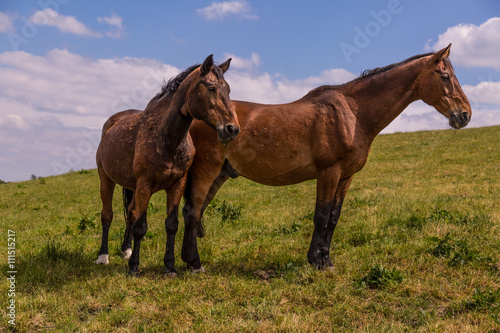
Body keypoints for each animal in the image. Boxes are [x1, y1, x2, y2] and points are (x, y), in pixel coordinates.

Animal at [97, 55, 240, 274]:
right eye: (211, 87)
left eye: (229, 89)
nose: (232, 129)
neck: (166, 138)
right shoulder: (145, 185)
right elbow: (141, 227)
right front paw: (134, 268)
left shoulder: (177, 184)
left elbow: (171, 224)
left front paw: (170, 267)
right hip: (106, 178)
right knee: (107, 215)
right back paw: (103, 256)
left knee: (130, 213)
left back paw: (126, 250)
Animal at [181, 44, 472, 272]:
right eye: (445, 76)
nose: (465, 114)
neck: (352, 113)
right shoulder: (328, 172)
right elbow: (321, 216)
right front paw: (316, 261)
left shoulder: (346, 176)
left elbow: (333, 217)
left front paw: (327, 260)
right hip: (206, 170)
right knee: (192, 211)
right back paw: (193, 263)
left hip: (219, 174)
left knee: (196, 211)